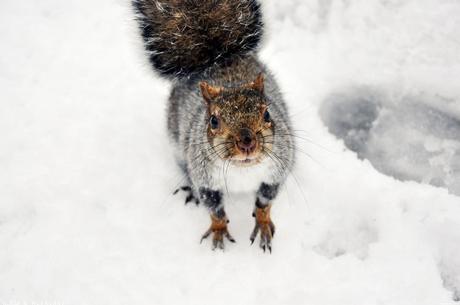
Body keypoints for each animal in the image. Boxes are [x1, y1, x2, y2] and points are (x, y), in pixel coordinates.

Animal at [133, 0, 296, 251]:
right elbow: (214, 208)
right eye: (213, 120)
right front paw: (218, 230)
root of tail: (219, 59)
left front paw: (263, 223)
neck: (242, 170)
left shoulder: (277, 169)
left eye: (267, 113)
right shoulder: (204, 177)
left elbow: (265, 201)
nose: (247, 142)